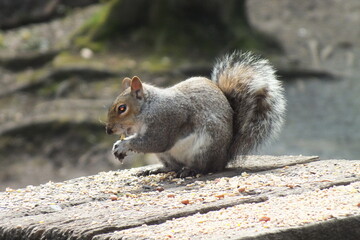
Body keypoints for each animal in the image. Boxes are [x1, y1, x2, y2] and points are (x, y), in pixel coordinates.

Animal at [105, 51, 286, 178]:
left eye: (122, 108)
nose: (108, 130)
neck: (148, 108)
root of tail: (224, 157)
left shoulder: (166, 119)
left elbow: (156, 141)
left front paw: (123, 145)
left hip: (204, 148)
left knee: (204, 168)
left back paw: (191, 170)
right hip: (166, 155)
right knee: (173, 166)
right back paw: (157, 170)